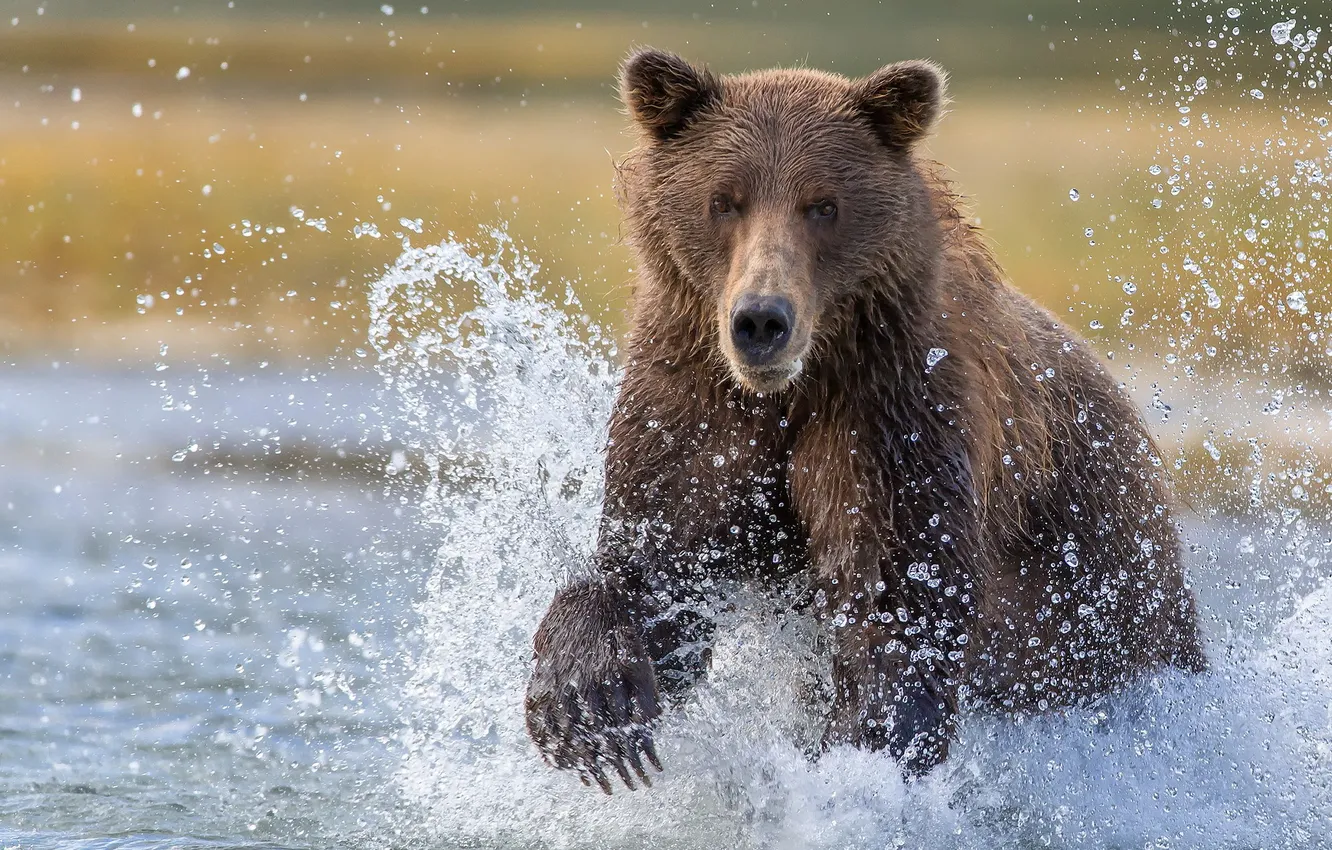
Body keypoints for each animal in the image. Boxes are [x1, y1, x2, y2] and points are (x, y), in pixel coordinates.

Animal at [519, 48, 1209, 794]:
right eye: (723, 200)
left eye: (823, 205)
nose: (761, 320)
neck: (796, 388)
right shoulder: (695, 408)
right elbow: (656, 568)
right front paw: (590, 707)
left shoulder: (894, 417)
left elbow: (897, 608)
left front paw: (856, 759)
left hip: (1102, 589)